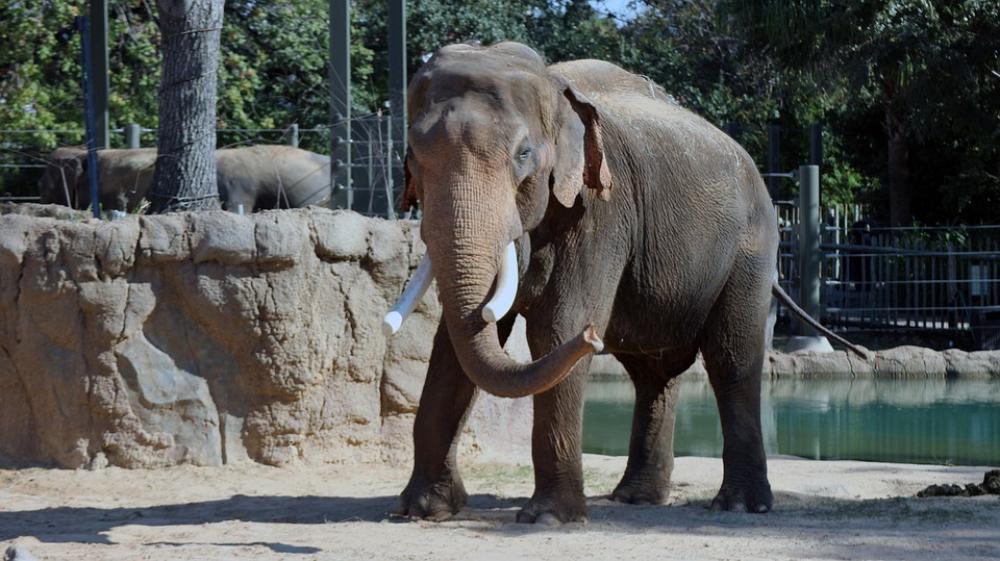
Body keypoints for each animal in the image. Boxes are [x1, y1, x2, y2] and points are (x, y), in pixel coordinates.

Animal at [384, 42, 865, 524]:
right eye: (411, 156)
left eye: (523, 155)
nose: (593, 338)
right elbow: (452, 344)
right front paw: (418, 510)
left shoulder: (602, 211)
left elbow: (556, 327)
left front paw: (547, 518)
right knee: (654, 374)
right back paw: (637, 498)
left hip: (751, 249)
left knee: (732, 359)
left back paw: (741, 505)